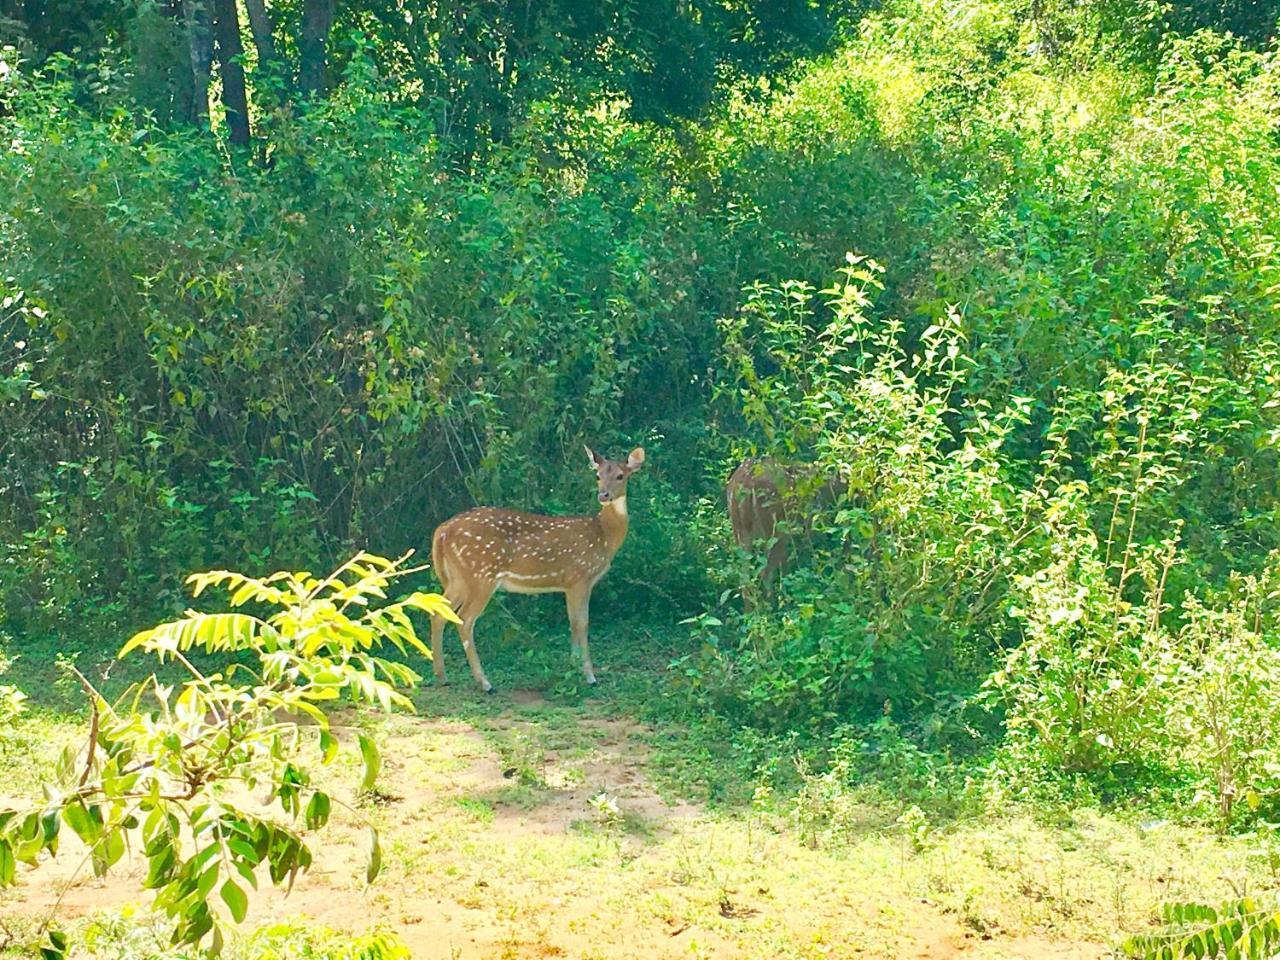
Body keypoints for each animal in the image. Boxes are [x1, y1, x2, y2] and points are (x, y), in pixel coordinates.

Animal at [430, 448, 645, 696]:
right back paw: (485, 683)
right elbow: (582, 623)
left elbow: (572, 622)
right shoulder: (580, 576)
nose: (604, 495)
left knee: (438, 614)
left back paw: (442, 677)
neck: (604, 535)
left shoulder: (569, 583)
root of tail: (442, 530)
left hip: (457, 579)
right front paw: (589, 676)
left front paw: (572, 667)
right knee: (465, 620)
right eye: (598, 475)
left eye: (621, 476)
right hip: (481, 574)